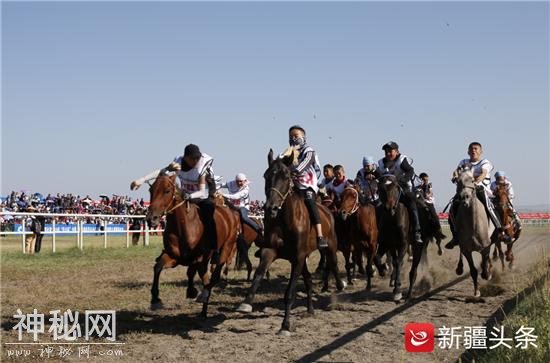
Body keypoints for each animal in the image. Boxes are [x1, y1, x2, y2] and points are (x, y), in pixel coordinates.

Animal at [148, 173, 240, 318]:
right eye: (151, 190)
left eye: (167, 191)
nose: (152, 218)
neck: (182, 227)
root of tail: (230, 214)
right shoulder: (173, 256)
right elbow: (158, 267)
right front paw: (155, 300)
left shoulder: (198, 257)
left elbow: (190, 271)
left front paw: (191, 291)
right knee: (206, 279)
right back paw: (203, 311)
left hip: (226, 247)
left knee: (215, 275)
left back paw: (204, 295)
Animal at [237, 149, 344, 336]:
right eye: (266, 175)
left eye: (286, 176)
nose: (270, 208)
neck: (286, 220)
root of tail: (328, 212)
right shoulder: (271, 251)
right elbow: (258, 274)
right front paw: (246, 302)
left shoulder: (298, 258)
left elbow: (289, 293)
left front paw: (285, 325)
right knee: (308, 280)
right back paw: (310, 309)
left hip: (329, 246)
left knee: (333, 264)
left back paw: (339, 285)